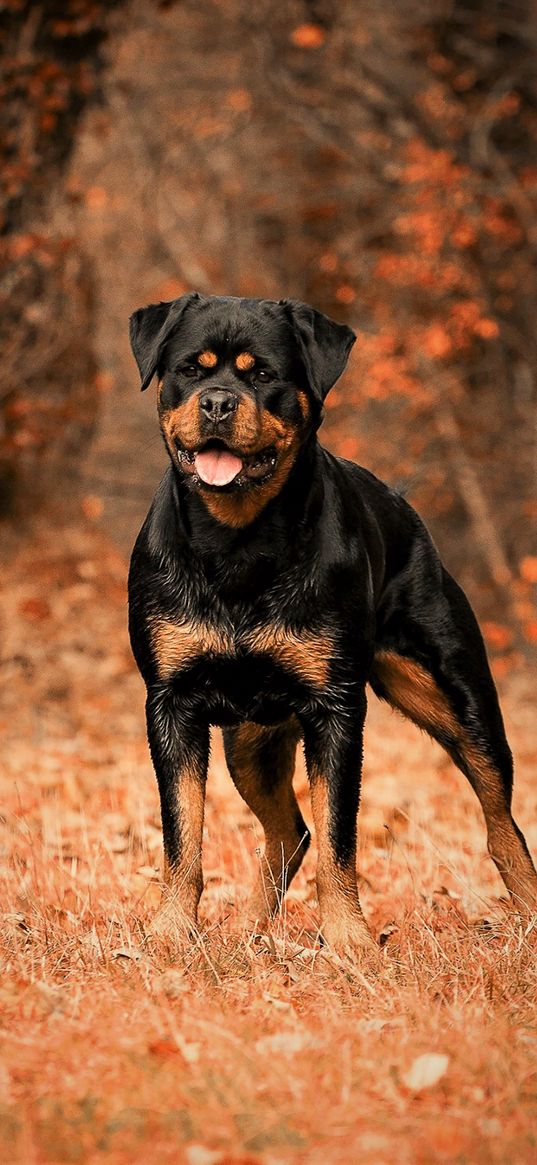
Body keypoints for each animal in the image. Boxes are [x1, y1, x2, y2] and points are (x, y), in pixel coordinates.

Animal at [126, 293, 535, 955]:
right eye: (190, 369)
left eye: (263, 375)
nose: (217, 402)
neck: (238, 541)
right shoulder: (171, 702)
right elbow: (182, 836)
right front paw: (169, 934)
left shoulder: (336, 708)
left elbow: (340, 837)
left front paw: (349, 942)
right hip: (251, 739)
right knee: (290, 831)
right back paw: (252, 931)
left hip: (458, 696)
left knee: (500, 817)